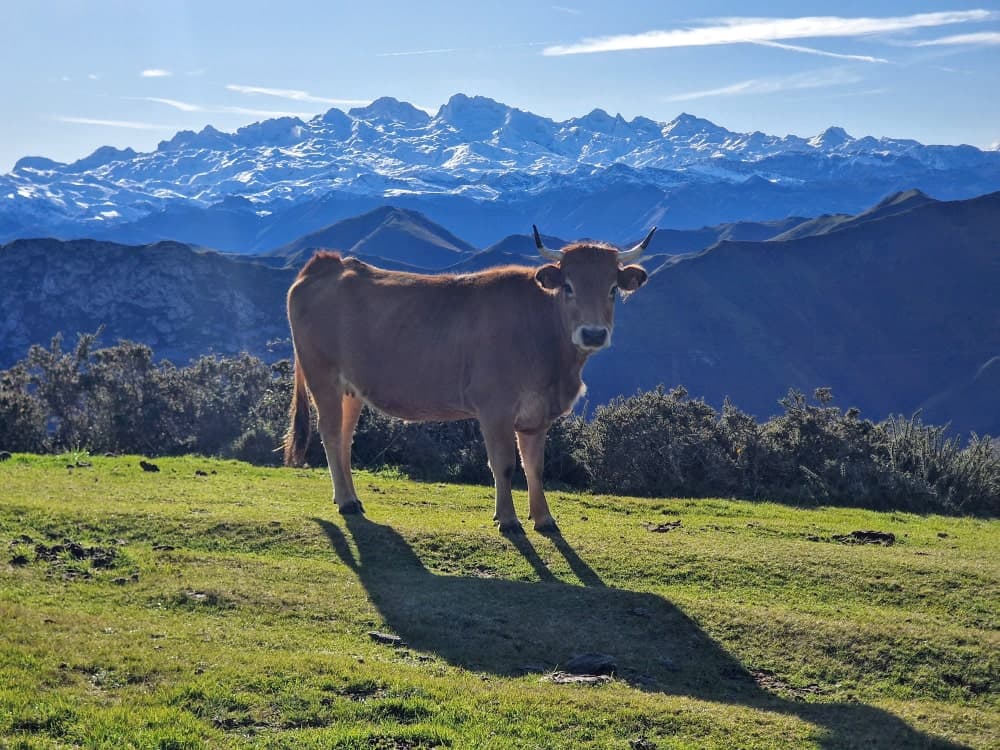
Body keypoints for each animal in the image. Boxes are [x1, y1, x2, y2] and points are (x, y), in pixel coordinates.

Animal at [284, 225, 656, 536]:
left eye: (612, 288)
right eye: (568, 286)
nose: (593, 333)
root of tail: (327, 264)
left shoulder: (536, 414)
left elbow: (535, 467)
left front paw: (544, 519)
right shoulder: (495, 407)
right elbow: (504, 465)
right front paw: (507, 520)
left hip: (352, 390)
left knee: (345, 438)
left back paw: (349, 497)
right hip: (323, 377)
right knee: (331, 433)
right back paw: (347, 501)